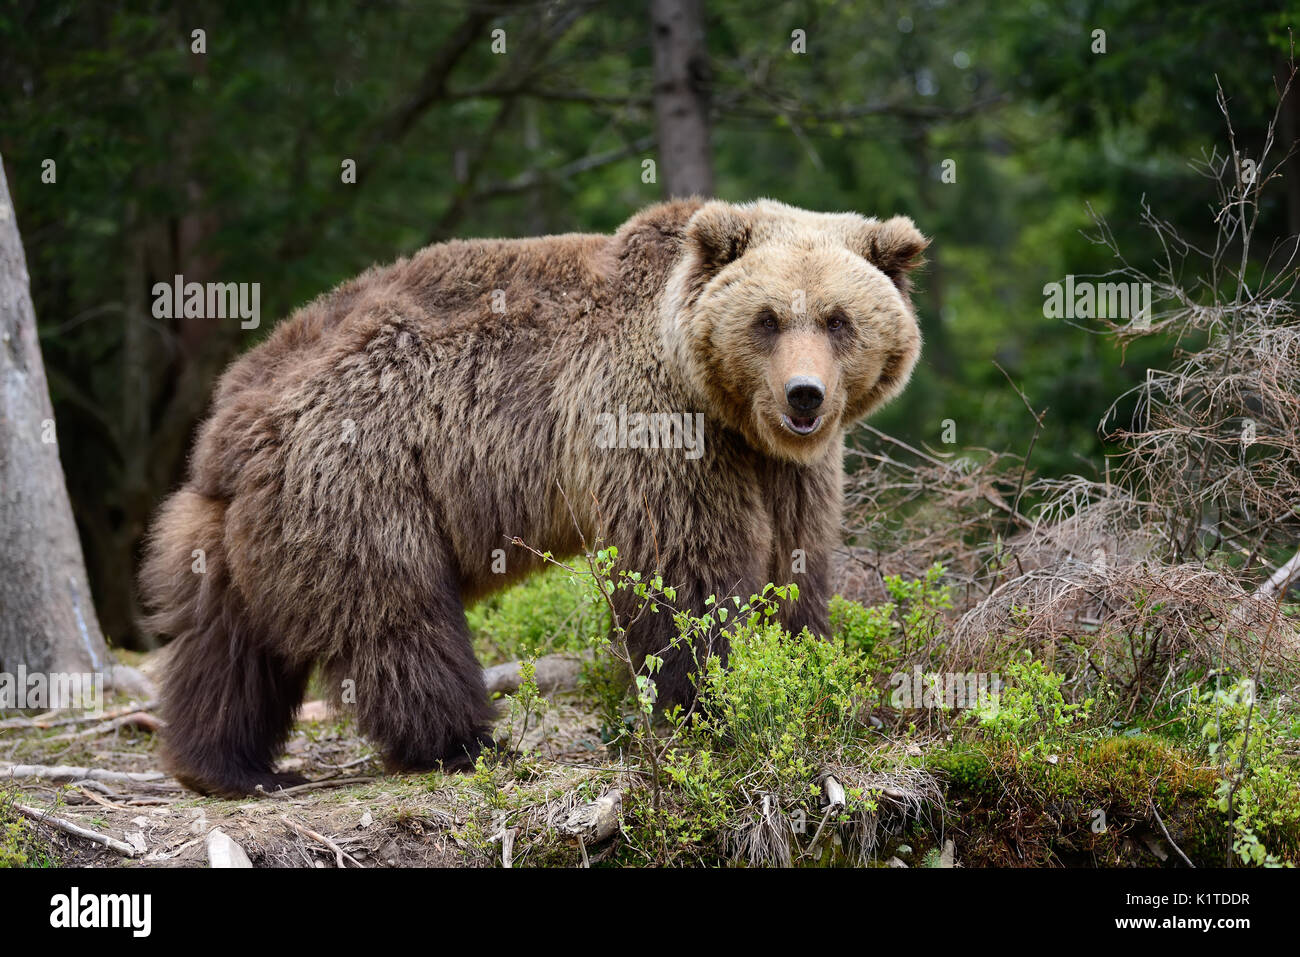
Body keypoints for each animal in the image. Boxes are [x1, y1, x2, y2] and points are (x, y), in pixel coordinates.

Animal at [139, 195, 925, 790]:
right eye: (767, 319)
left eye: (838, 319)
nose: (804, 395)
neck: (727, 409)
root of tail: (233, 414)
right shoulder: (656, 425)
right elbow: (685, 572)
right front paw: (715, 704)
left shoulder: (786, 469)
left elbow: (794, 564)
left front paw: (812, 674)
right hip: (359, 480)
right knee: (400, 619)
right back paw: (465, 742)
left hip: (232, 531)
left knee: (225, 644)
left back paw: (229, 765)